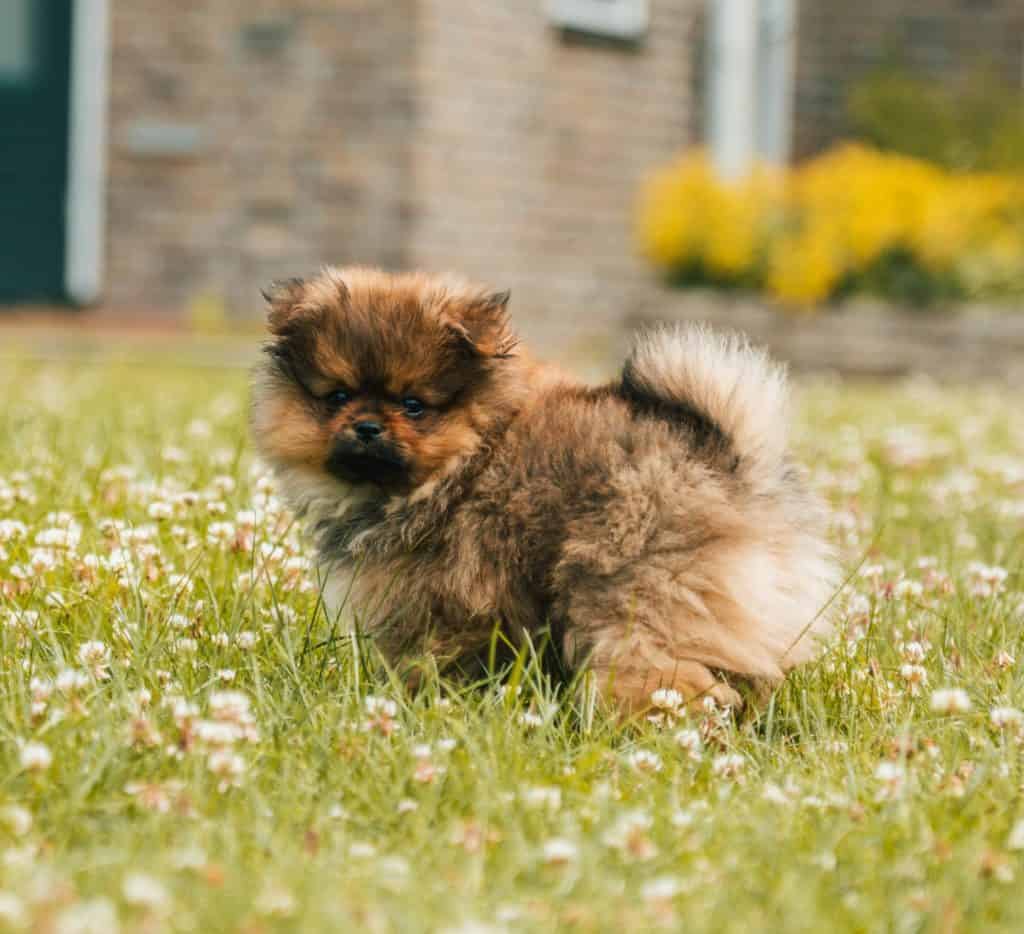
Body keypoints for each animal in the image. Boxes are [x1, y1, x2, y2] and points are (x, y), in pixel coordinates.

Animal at [251, 266, 835, 712]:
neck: (463, 463)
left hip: (632, 601)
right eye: (337, 396)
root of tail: (732, 462)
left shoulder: (440, 603)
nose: (368, 426)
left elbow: (430, 661)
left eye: (413, 406)